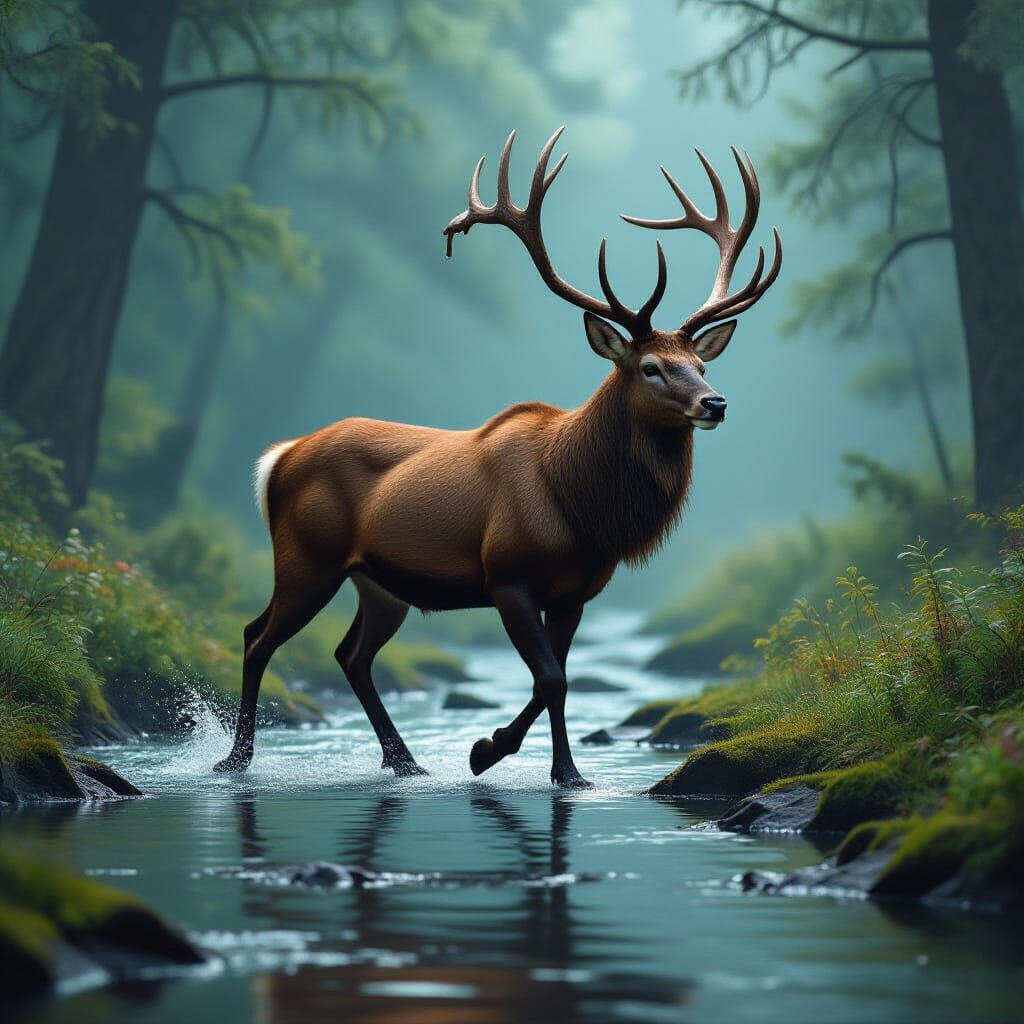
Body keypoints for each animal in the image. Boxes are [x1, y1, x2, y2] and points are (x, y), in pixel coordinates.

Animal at [213, 127, 781, 788]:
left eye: (701, 364)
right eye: (651, 367)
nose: (715, 402)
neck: (584, 510)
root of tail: (277, 459)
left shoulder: (575, 593)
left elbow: (558, 681)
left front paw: (564, 772)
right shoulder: (507, 575)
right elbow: (552, 679)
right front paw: (487, 752)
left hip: (380, 584)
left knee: (350, 654)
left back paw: (404, 760)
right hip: (307, 557)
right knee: (258, 635)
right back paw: (236, 760)